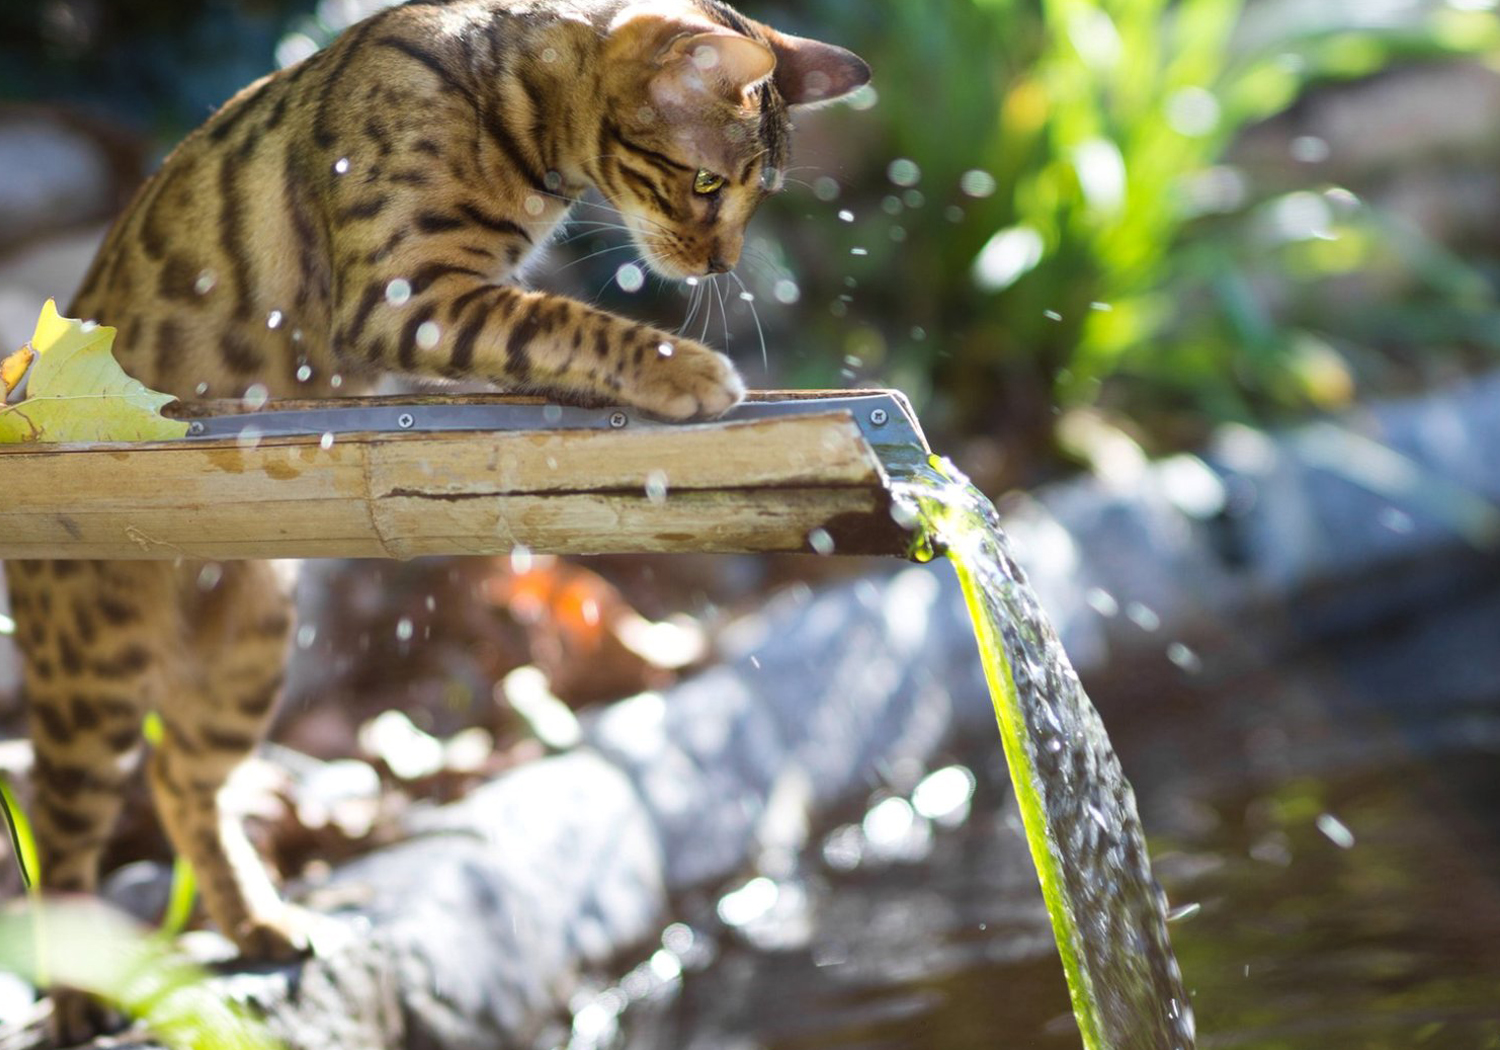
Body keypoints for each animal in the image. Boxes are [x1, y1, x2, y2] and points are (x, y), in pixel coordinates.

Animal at [2, 0, 870, 1032]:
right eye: (706, 181)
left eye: (758, 193)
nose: (726, 262)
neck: (515, 111)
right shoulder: (404, 294)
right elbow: (556, 319)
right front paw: (681, 366)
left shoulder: (443, 300)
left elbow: (541, 338)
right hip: (93, 672)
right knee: (60, 839)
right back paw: (80, 1001)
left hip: (249, 646)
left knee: (182, 780)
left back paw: (258, 921)